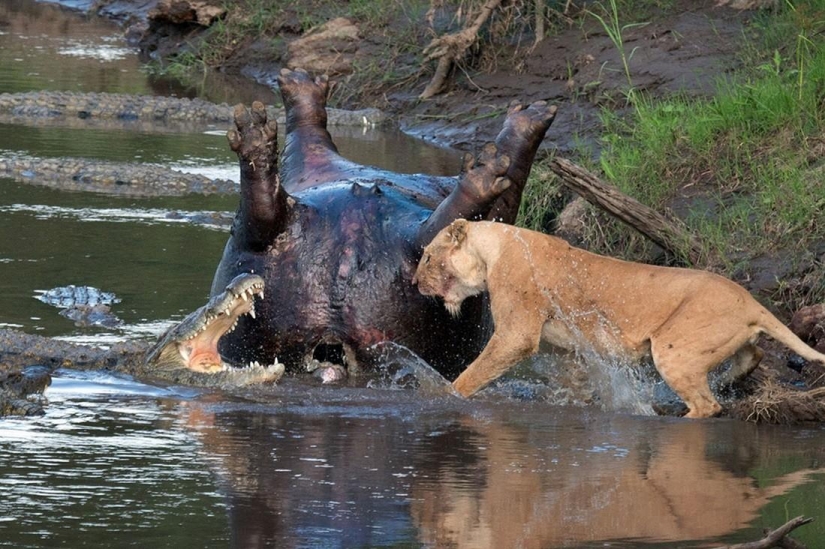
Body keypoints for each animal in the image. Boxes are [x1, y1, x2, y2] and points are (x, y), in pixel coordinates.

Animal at [413, 219, 825, 418]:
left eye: (428, 257)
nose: (414, 283)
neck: (492, 248)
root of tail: (751, 301)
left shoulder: (517, 333)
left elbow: (473, 374)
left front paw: (442, 396)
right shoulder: (568, 351)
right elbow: (572, 385)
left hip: (673, 351)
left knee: (708, 406)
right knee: (753, 355)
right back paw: (727, 382)